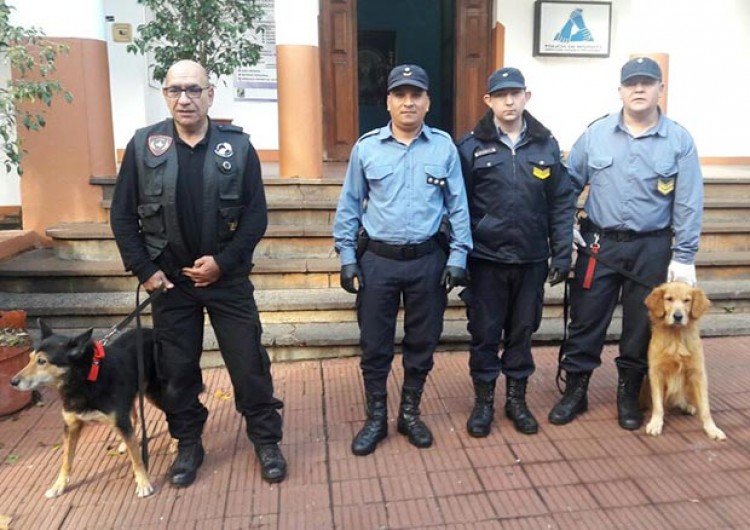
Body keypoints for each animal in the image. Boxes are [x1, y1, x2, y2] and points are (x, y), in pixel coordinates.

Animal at [10, 320, 164, 498]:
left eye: (42, 361)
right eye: (29, 359)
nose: (13, 382)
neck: (85, 379)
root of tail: (152, 331)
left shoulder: (119, 420)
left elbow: (137, 459)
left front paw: (144, 483)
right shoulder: (71, 426)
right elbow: (66, 460)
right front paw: (58, 485)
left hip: (155, 395)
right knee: (135, 418)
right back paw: (124, 444)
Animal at [643, 281, 726, 441]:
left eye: (687, 300)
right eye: (669, 299)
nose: (678, 316)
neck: (676, 337)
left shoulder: (698, 373)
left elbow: (705, 408)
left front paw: (712, 429)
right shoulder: (656, 372)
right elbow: (658, 405)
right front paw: (656, 423)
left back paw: (687, 406)